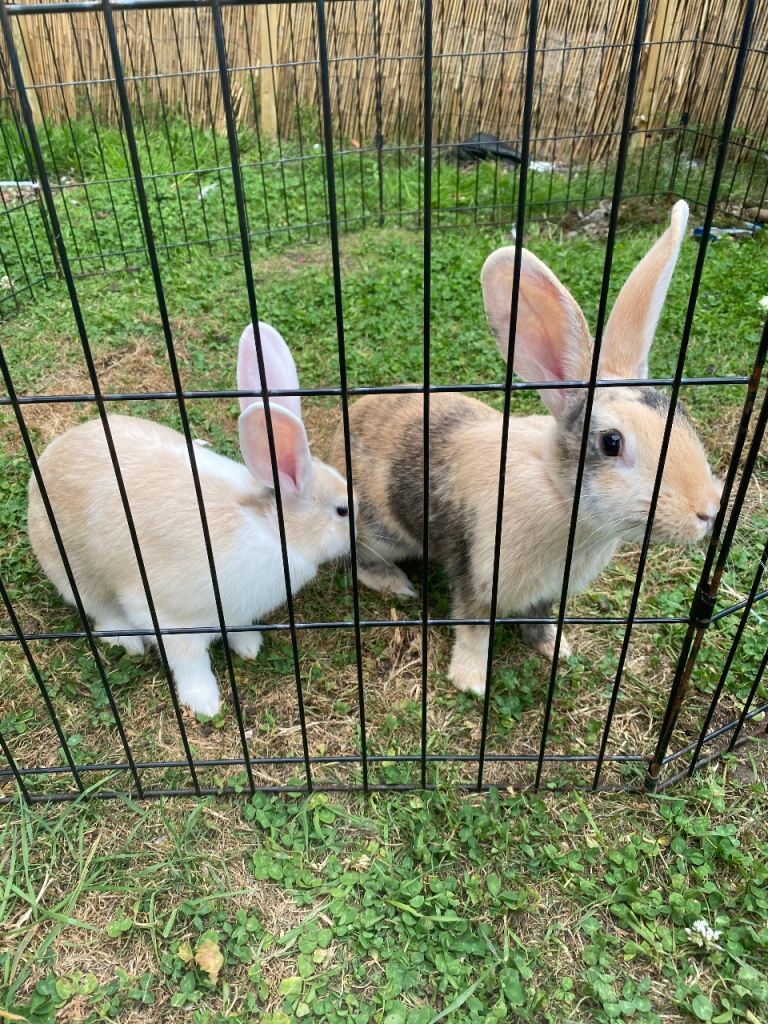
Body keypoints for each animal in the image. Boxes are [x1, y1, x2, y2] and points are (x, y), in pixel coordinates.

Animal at [28, 322, 353, 717]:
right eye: (342, 510)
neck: (270, 530)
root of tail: (38, 476)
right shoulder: (170, 619)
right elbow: (189, 662)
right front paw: (205, 703)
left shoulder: (235, 611)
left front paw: (249, 646)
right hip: (75, 574)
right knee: (100, 613)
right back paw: (128, 641)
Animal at [331, 200, 722, 696]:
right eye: (611, 442)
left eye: (682, 413)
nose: (707, 511)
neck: (561, 496)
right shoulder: (479, 579)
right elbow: (473, 629)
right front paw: (470, 681)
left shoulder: (547, 591)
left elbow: (538, 619)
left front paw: (556, 648)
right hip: (378, 531)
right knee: (358, 560)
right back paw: (397, 584)